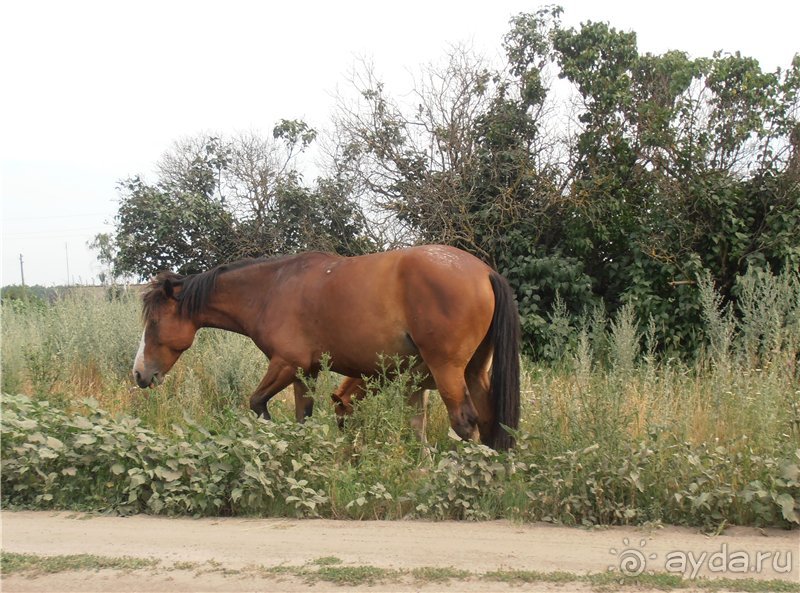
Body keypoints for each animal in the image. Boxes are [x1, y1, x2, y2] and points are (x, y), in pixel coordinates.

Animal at [134, 245, 520, 448]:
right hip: (475, 371)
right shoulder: (306, 372)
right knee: (490, 421)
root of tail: (484, 272)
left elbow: (257, 403)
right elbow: (302, 417)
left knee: (465, 422)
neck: (272, 289)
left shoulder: (285, 364)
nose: (139, 374)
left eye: (153, 324)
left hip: (447, 371)